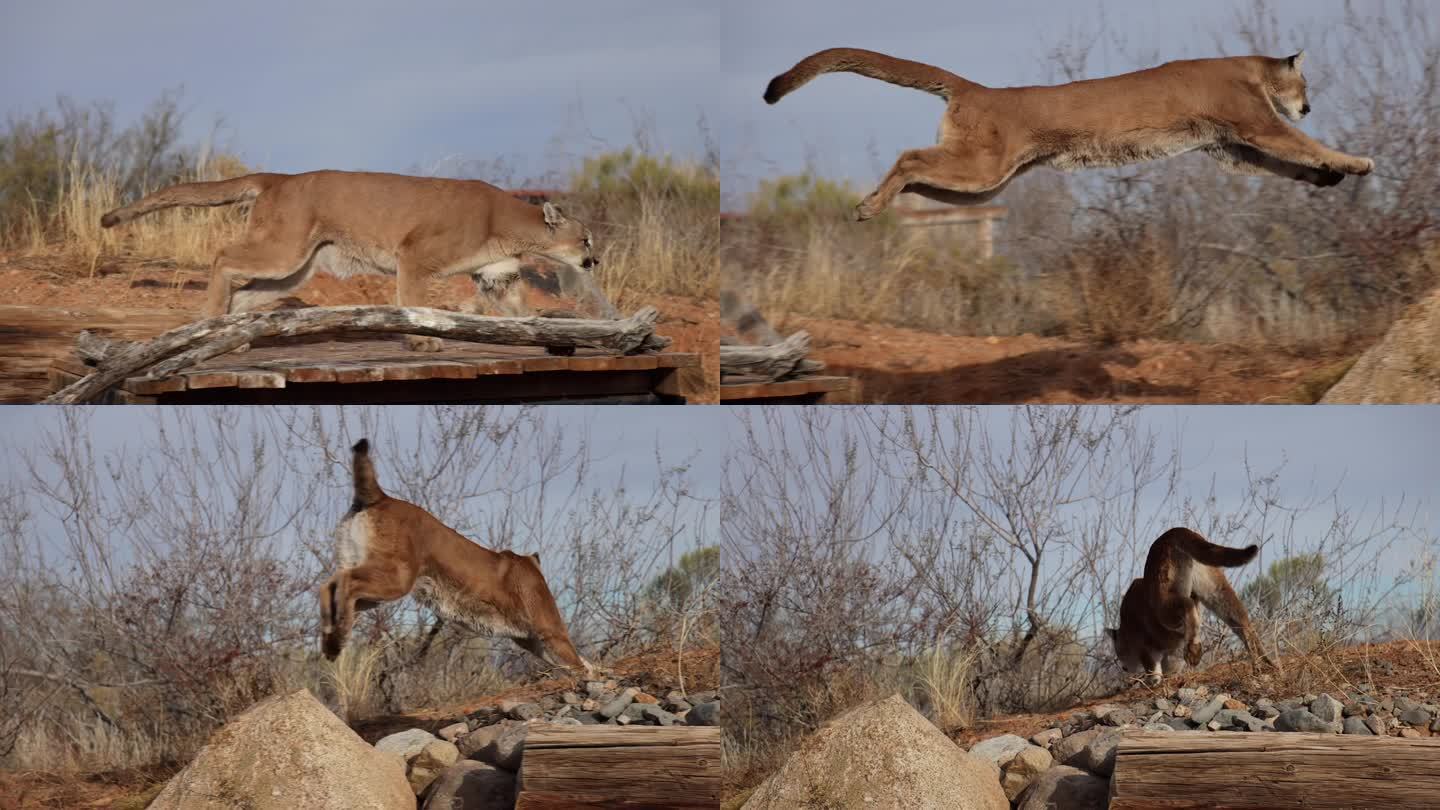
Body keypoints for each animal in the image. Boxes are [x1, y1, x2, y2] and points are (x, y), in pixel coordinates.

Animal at [97, 168, 601, 345]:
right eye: (586, 240)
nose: (595, 262)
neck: (511, 226)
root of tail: (279, 177)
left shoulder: (499, 276)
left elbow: (520, 310)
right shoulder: (414, 254)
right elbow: (412, 304)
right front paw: (422, 343)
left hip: (294, 270)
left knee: (246, 295)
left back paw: (232, 335)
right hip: (283, 252)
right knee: (222, 257)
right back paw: (208, 318)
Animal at [319, 435, 590, 674]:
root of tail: (380, 497)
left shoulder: (532, 639)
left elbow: (580, 665)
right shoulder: (551, 631)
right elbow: (579, 665)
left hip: (372, 585)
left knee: (330, 584)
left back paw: (330, 638)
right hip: (395, 578)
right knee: (345, 582)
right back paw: (337, 638)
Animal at [766, 48, 1370, 219]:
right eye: (1307, 82)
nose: (1309, 104)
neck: (1250, 69)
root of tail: (977, 87)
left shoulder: (1229, 146)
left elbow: (1286, 163)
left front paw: (1329, 177)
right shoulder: (1252, 124)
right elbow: (1299, 145)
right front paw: (1357, 162)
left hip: (982, 184)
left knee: (916, 173)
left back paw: (873, 201)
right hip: (982, 168)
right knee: (909, 157)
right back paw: (870, 206)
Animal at [1105, 524, 1278, 680]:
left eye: (1118, 653)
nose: (1124, 668)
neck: (1125, 626)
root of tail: (1175, 532)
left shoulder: (1146, 648)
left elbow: (1153, 667)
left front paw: (1154, 681)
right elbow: (1170, 665)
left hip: (1164, 602)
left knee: (1187, 605)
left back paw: (1194, 650)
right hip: (1216, 591)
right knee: (1242, 621)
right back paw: (1265, 663)